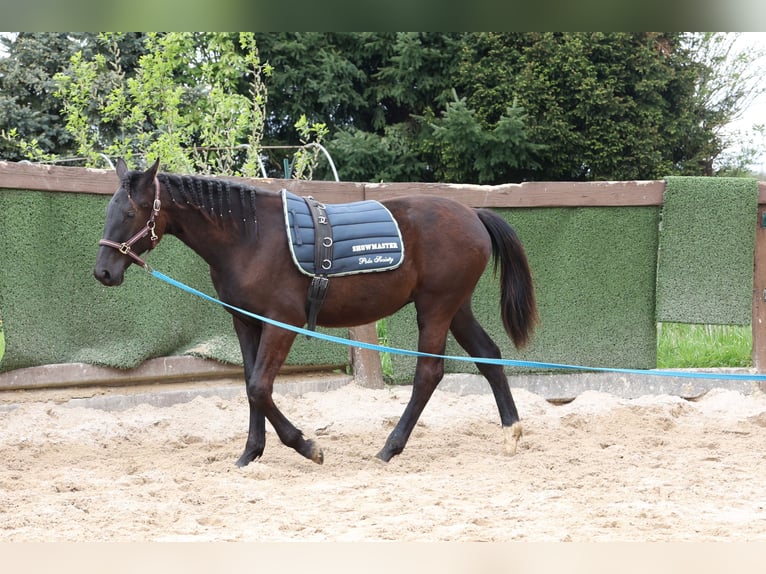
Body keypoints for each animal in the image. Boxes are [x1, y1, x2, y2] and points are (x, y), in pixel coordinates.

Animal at [94, 159, 540, 468]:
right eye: (109, 212)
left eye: (130, 213)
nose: (103, 272)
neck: (250, 236)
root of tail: (473, 215)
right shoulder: (245, 321)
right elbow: (250, 385)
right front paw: (250, 453)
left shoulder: (283, 321)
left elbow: (259, 387)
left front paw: (307, 446)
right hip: (456, 308)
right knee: (489, 357)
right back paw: (511, 432)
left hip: (436, 307)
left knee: (429, 373)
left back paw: (389, 448)